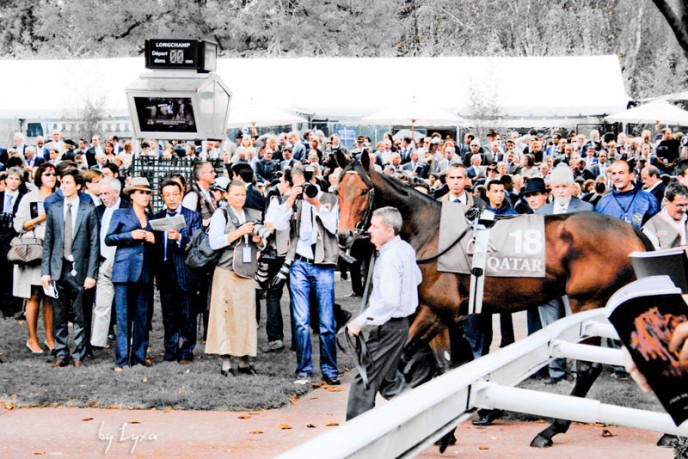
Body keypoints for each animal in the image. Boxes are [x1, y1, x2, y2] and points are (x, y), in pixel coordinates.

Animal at [336, 152, 652, 450]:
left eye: (363, 191)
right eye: (337, 189)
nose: (343, 236)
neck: (432, 232)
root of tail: (632, 231)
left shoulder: (436, 310)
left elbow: (407, 359)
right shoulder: (440, 314)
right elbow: (444, 367)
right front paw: (445, 432)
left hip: (586, 302)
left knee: (588, 368)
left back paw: (550, 430)